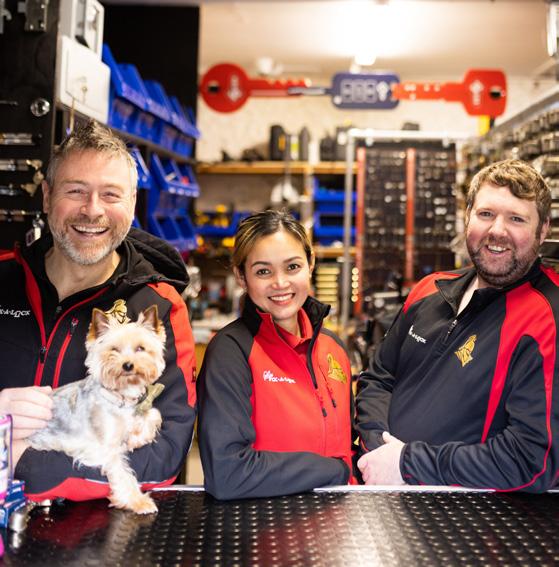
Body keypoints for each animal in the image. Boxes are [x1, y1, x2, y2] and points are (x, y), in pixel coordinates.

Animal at [29, 305, 166, 514]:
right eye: (114, 350)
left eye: (140, 348)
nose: (128, 365)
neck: (120, 397)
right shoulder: (103, 449)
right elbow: (123, 474)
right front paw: (138, 501)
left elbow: (152, 415)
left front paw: (136, 436)